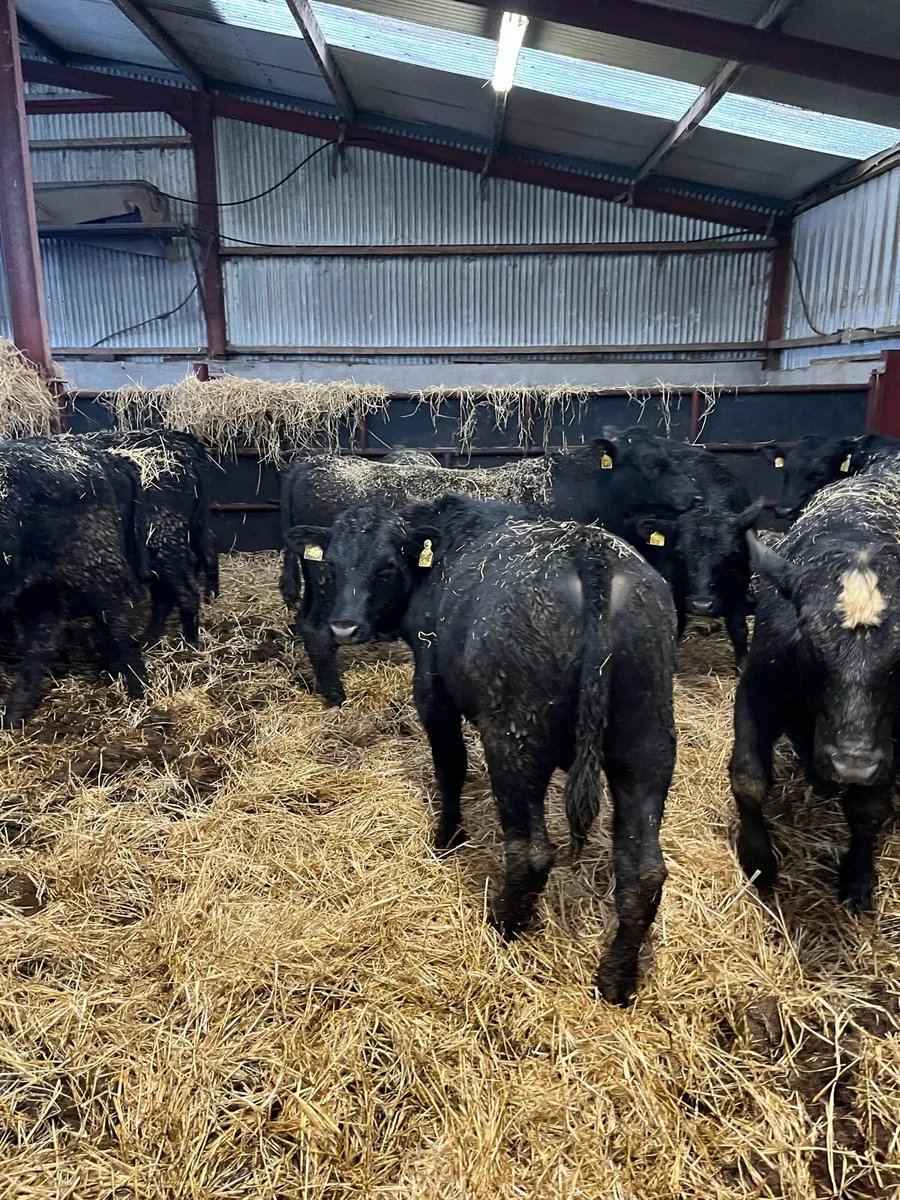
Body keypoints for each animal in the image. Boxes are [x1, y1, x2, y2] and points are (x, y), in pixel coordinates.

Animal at [0, 437, 149, 725]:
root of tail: (103, 458)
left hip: (98, 566)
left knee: (117, 620)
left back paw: (138, 692)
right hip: (37, 583)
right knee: (42, 635)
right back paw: (15, 714)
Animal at [280, 427, 700, 705]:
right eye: (651, 463)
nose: (695, 496)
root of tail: (316, 462)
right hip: (328, 582)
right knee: (318, 630)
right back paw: (337, 698)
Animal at [286, 493, 677, 1004]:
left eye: (387, 567)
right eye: (331, 564)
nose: (345, 626)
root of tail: (591, 554)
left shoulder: (432, 691)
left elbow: (450, 767)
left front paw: (447, 837)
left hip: (514, 741)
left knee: (532, 853)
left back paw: (503, 924)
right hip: (646, 746)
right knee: (643, 873)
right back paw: (615, 980)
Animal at [625, 442, 764, 667]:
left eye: (730, 556)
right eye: (680, 554)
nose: (702, 605)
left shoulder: (740, 582)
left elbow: (738, 626)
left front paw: (742, 663)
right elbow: (676, 624)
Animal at [730, 456, 900, 911]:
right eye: (809, 639)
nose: (851, 764)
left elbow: (868, 809)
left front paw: (858, 876)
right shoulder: (756, 692)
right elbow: (748, 780)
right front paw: (758, 860)